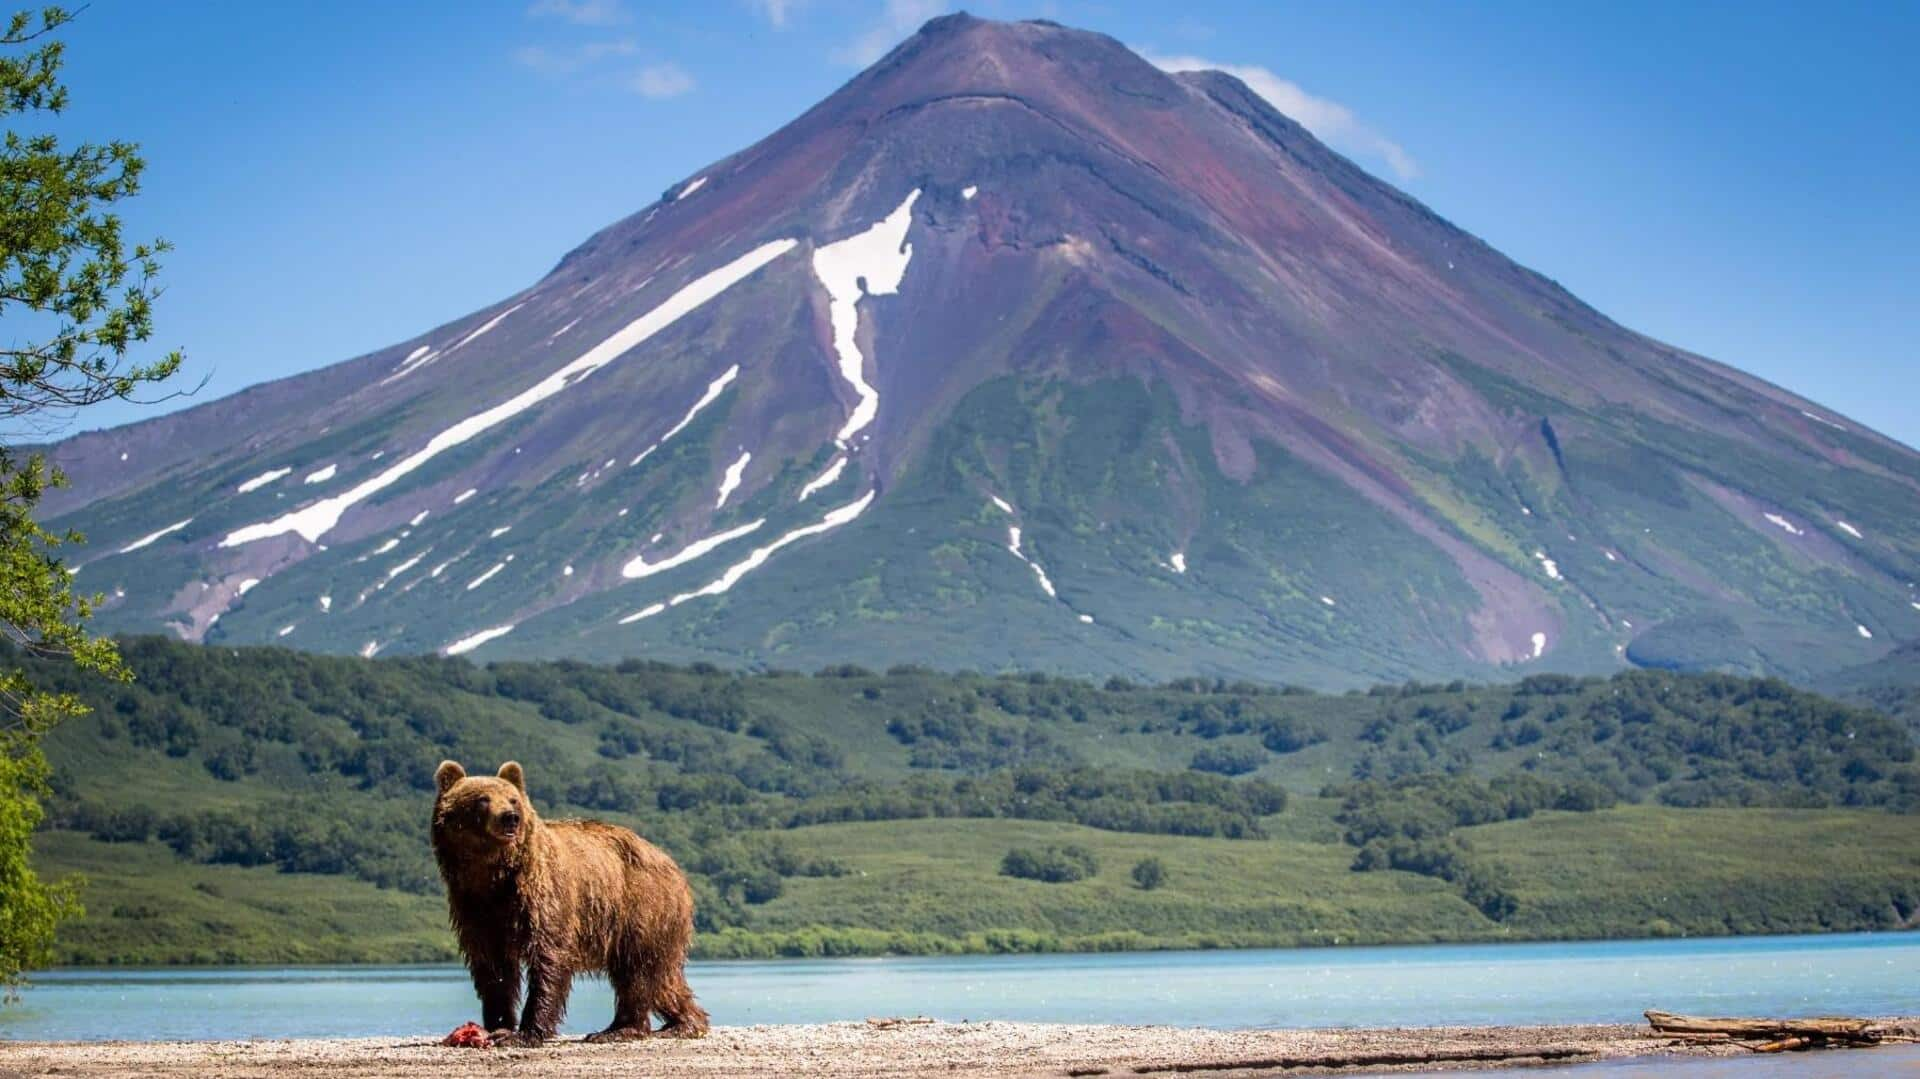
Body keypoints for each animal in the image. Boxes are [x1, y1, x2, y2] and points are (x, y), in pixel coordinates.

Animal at [432, 756, 710, 1044]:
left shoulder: (542, 897)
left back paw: (619, 1029)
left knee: (637, 971)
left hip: (642, 905)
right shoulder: (474, 905)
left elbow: (549, 957)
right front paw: (498, 1025)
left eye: (513, 799)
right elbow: (492, 967)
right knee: (663, 977)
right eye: (482, 799)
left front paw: (526, 1032)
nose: (510, 818)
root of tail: (672, 864)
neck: (494, 873)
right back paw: (684, 1022)